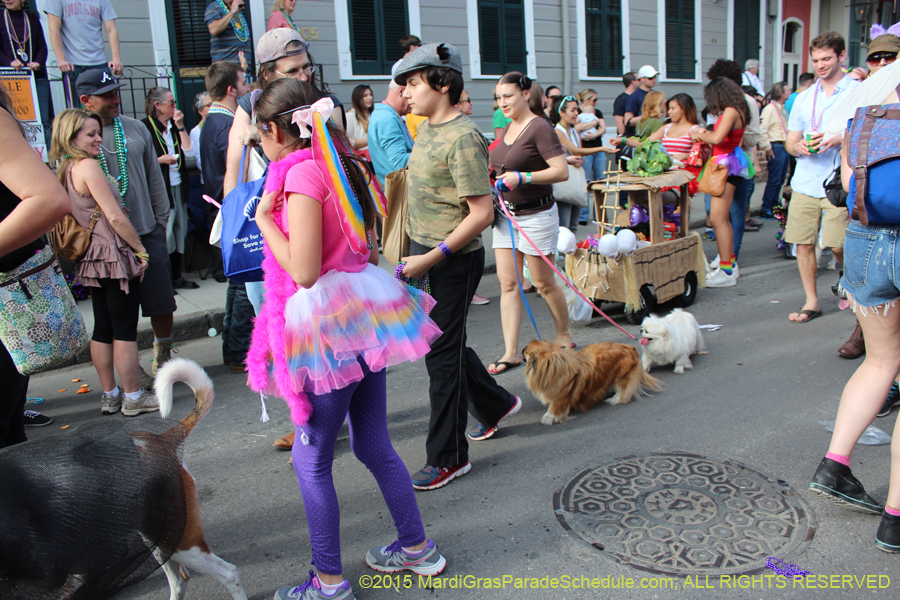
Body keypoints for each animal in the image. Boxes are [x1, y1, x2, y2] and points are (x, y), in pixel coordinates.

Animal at [520, 340, 660, 424]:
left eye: (526, 350)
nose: (521, 349)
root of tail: (631, 349)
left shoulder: (562, 396)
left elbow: (554, 408)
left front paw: (547, 418)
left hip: (621, 377)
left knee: (624, 391)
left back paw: (613, 399)